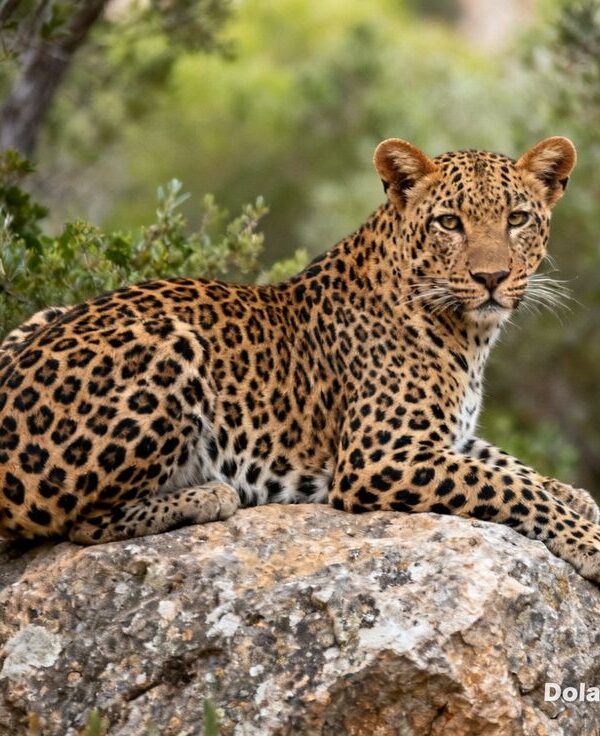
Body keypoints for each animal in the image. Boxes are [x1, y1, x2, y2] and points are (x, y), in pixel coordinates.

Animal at [1, 135, 600, 583]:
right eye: (449, 223)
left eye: (517, 218)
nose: (491, 277)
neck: (469, 335)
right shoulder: (380, 454)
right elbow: (508, 485)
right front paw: (589, 541)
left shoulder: (447, 437)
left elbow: (512, 466)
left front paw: (576, 494)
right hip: (168, 340)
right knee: (78, 526)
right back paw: (209, 494)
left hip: (43, 316)